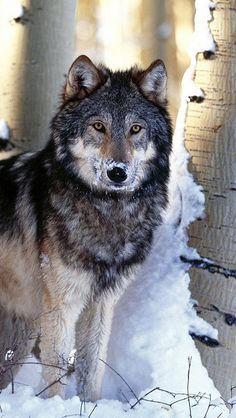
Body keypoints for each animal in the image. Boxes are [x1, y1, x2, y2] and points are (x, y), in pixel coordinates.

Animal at [0, 54, 171, 400]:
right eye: (98, 126)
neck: (109, 212)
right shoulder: (62, 305)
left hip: (21, 335)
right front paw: (54, 407)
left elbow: (92, 370)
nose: (118, 172)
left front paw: (88, 405)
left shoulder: (102, 304)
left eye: (135, 129)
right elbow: (55, 373)